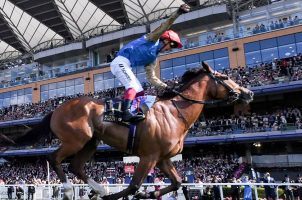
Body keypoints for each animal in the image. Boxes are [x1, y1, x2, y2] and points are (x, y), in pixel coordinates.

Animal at [9, 61, 254, 199]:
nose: (248, 93)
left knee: (76, 166)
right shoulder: (149, 156)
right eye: (224, 77)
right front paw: (125, 194)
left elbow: (177, 182)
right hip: (75, 140)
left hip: (90, 142)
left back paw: (99, 189)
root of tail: (56, 108)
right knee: (54, 158)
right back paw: (70, 189)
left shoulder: (163, 159)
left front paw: (151, 192)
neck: (175, 112)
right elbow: (133, 186)